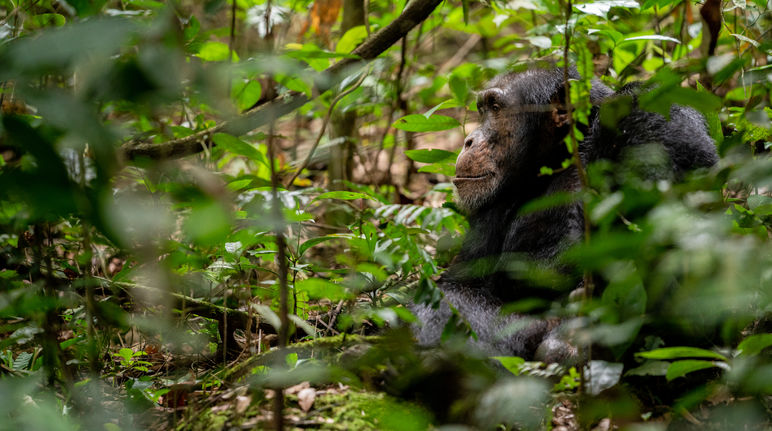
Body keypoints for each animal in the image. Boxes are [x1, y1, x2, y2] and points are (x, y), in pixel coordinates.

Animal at [414, 65, 720, 362]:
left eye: (496, 108)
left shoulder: (649, 106)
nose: (469, 140)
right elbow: (463, 285)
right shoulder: (490, 207)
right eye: (482, 110)